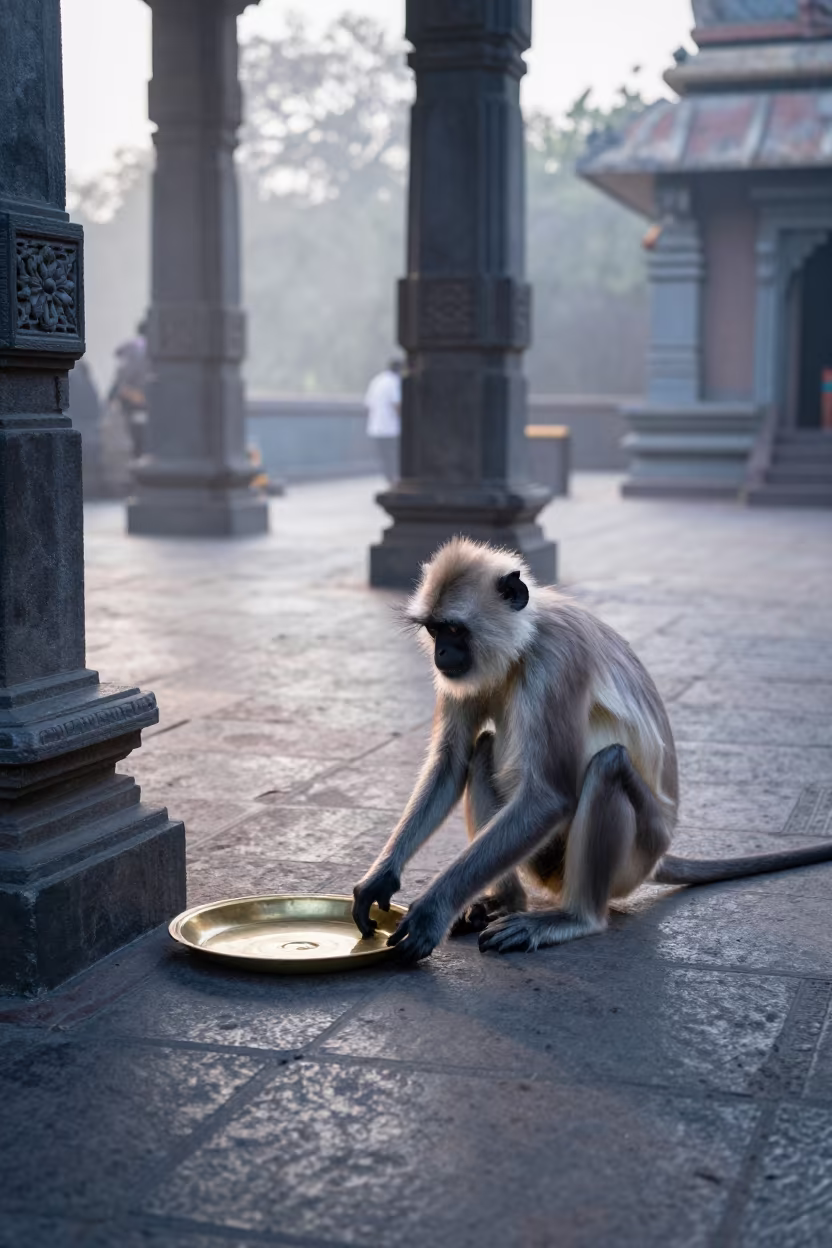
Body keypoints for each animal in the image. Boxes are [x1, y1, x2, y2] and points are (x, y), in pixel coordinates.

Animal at [351, 536, 832, 962]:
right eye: (434, 631)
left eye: (454, 630)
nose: (442, 654)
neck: (524, 643)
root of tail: (661, 852)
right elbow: (450, 763)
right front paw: (379, 881)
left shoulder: (558, 659)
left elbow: (548, 796)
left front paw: (431, 914)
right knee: (483, 748)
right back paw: (507, 901)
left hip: (635, 854)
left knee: (608, 765)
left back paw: (575, 919)